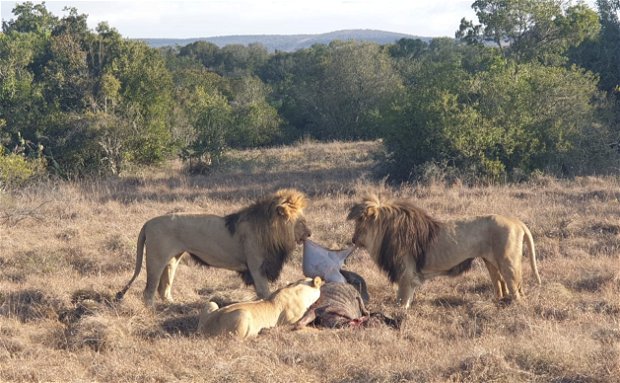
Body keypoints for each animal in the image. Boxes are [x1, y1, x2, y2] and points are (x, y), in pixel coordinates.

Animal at [114, 188, 312, 308]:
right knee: (148, 290)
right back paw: (152, 309)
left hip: (172, 260)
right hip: (156, 259)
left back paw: (173, 305)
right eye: (301, 222)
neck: (271, 231)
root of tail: (147, 223)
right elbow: (265, 292)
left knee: (163, 288)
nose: (310, 233)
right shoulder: (256, 266)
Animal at [348, 194, 544, 308]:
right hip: (491, 263)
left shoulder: (405, 273)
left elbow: (402, 299)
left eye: (359, 223)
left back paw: (515, 308)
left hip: (508, 262)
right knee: (500, 285)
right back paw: (499, 303)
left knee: (516, 289)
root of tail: (516, 222)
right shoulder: (409, 275)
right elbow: (408, 297)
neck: (384, 232)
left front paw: (399, 314)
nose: (353, 240)